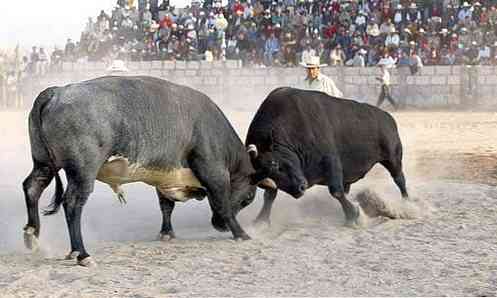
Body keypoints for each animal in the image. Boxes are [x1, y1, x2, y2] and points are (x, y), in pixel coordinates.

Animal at [21, 75, 274, 266]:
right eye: (248, 198)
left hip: (44, 163)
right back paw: (81, 253)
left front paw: (167, 233)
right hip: (83, 172)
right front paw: (241, 234)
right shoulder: (214, 172)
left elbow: (166, 206)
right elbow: (223, 203)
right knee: (72, 203)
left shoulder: (165, 177)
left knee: (32, 187)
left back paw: (32, 234)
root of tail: (57, 92)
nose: (218, 225)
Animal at [246, 87, 408, 225]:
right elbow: (269, 195)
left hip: (393, 158)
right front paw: (261, 220)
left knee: (399, 179)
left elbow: (336, 191)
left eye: (277, 165)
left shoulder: (330, 161)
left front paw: (353, 215)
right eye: (267, 176)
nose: (300, 189)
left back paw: (407, 203)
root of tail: (387, 117)